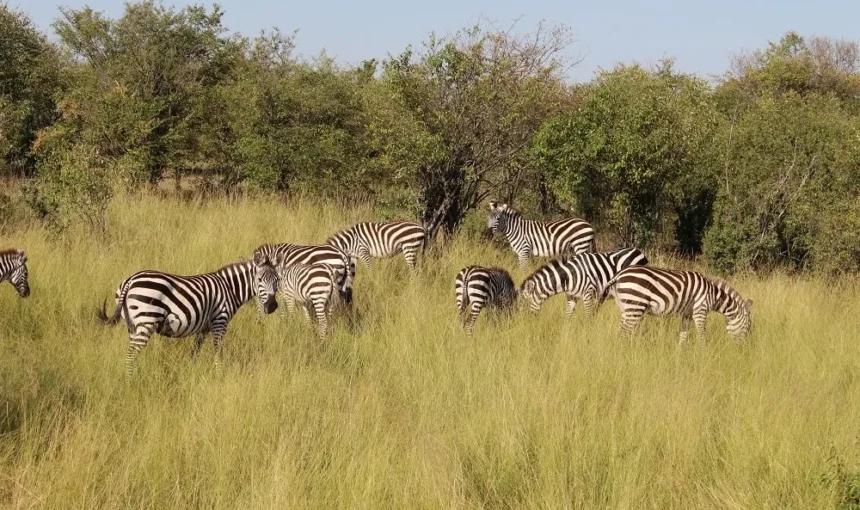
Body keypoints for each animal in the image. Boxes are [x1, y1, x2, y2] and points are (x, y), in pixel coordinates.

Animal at [97, 254, 279, 379]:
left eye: (277, 280)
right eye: (260, 279)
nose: (272, 306)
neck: (229, 288)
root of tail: (131, 280)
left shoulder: (204, 328)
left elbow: (195, 352)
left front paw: (189, 372)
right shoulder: (219, 321)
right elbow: (218, 352)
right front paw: (219, 375)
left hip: (132, 324)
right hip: (146, 321)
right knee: (131, 354)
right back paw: (130, 381)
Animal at [519, 248, 649, 317]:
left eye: (524, 303)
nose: (525, 322)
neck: (569, 276)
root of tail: (639, 252)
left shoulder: (588, 294)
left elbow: (588, 316)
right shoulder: (571, 296)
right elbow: (568, 316)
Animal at [599, 266, 753, 342]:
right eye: (748, 326)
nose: (744, 348)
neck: (713, 295)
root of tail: (619, 274)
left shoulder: (687, 314)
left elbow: (683, 335)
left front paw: (679, 356)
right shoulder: (700, 310)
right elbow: (702, 335)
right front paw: (704, 355)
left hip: (626, 307)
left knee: (621, 332)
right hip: (635, 306)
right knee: (624, 333)